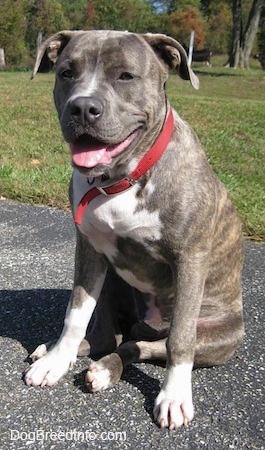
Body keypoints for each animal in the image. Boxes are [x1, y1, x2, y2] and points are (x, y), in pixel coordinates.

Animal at [24, 29, 243, 430]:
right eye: (66, 72)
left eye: (126, 76)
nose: (83, 108)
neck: (123, 177)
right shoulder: (88, 250)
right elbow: (75, 315)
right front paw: (56, 361)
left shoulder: (190, 260)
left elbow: (180, 340)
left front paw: (174, 396)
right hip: (113, 283)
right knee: (108, 337)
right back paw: (62, 353)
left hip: (218, 338)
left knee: (145, 346)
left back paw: (105, 370)